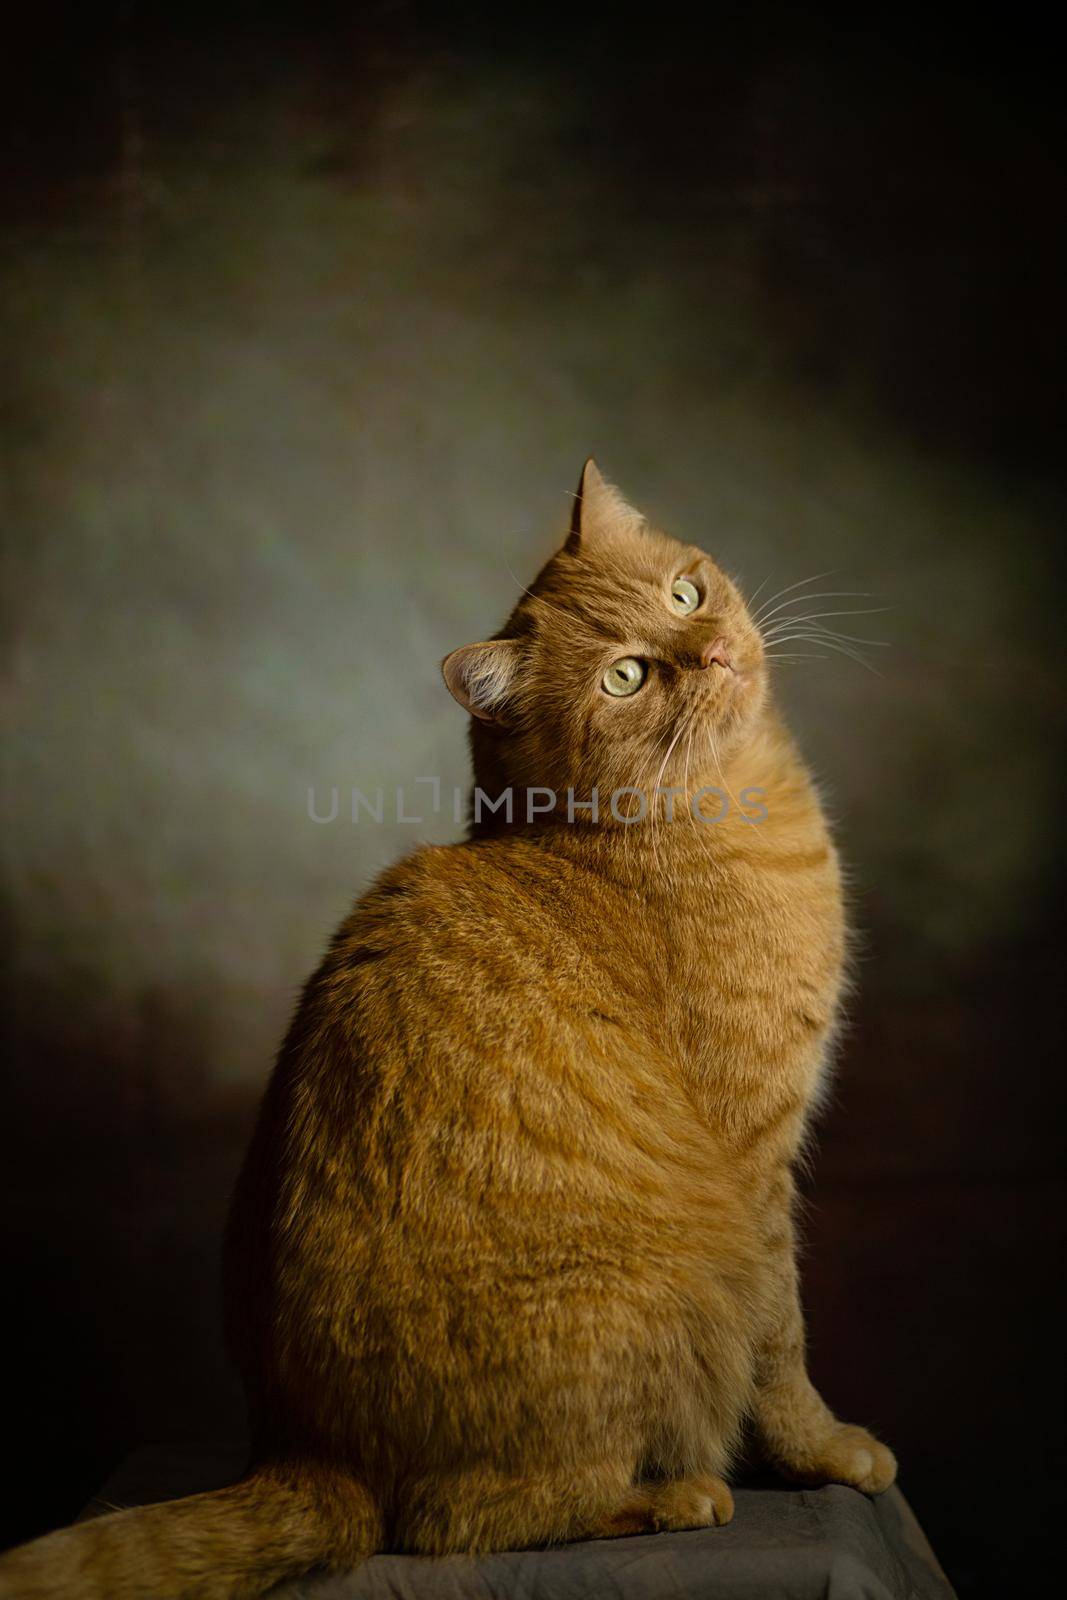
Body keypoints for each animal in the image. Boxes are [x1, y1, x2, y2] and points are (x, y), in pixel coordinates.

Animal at [0, 460, 895, 1600]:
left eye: (685, 595)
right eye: (627, 677)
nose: (713, 649)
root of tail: (304, 1448)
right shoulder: (758, 1168)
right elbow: (784, 1345)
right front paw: (825, 1453)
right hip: (646, 1306)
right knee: (455, 1520)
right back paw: (672, 1495)